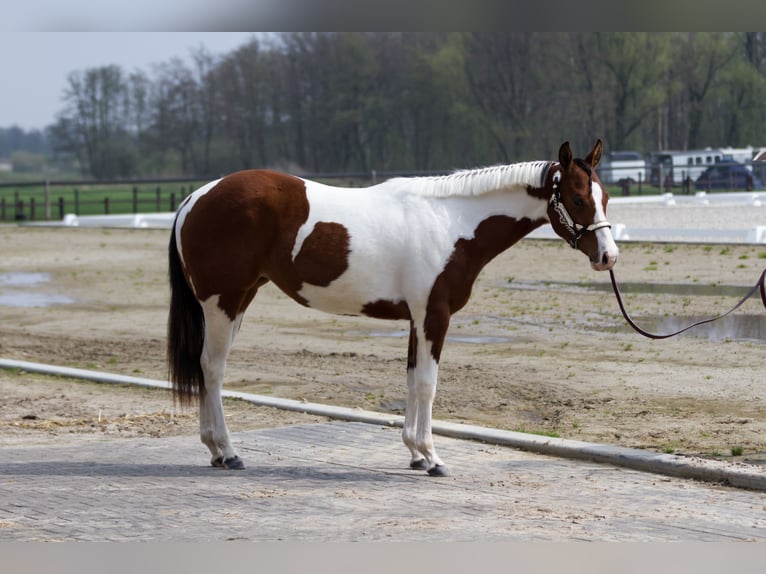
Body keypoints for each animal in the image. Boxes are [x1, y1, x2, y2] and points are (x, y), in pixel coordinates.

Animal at [166, 138, 616, 476]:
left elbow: (412, 380)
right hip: (222, 301)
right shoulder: (435, 316)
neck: (450, 222)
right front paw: (434, 457)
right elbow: (428, 384)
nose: (608, 257)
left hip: (240, 299)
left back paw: (215, 450)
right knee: (212, 368)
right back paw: (227, 451)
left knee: (207, 368)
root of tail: (194, 198)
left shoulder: (417, 319)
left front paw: (416, 454)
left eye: (606, 196)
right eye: (578, 199)